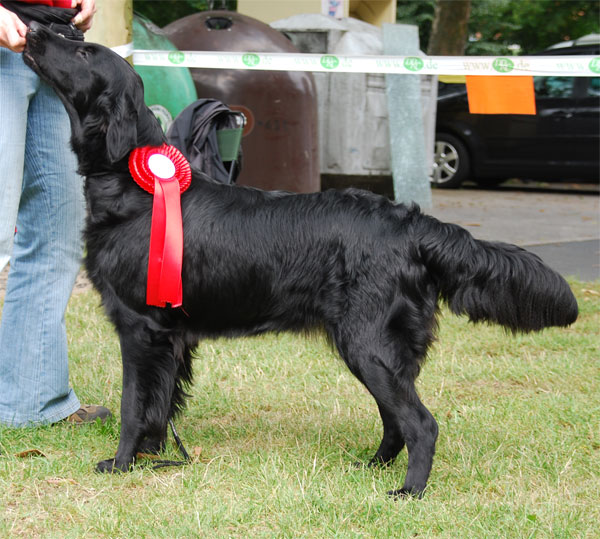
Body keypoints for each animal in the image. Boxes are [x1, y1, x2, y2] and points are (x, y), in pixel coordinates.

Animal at [23, 23, 578, 497]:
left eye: (83, 52)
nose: (32, 29)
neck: (135, 184)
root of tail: (410, 221)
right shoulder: (171, 335)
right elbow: (160, 405)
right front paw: (149, 458)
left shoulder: (140, 325)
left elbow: (133, 404)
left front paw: (120, 464)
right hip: (374, 350)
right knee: (395, 420)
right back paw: (371, 467)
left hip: (368, 343)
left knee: (421, 423)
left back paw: (409, 491)